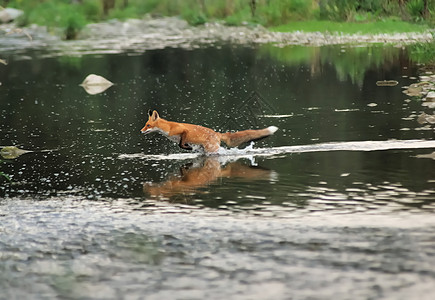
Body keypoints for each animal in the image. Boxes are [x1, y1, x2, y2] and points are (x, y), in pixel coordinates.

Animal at [141, 110, 282, 152]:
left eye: (148, 125)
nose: (141, 131)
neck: (168, 128)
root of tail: (217, 133)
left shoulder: (183, 131)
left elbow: (181, 144)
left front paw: (188, 148)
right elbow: (181, 144)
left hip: (211, 149)